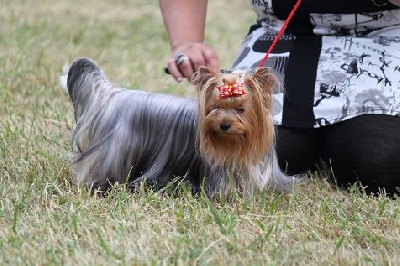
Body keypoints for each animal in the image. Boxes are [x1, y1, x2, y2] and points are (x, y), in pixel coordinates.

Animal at [65, 57, 296, 197]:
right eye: (214, 108)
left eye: (241, 109)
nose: (223, 125)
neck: (235, 146)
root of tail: (113, 94)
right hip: (114, 152)